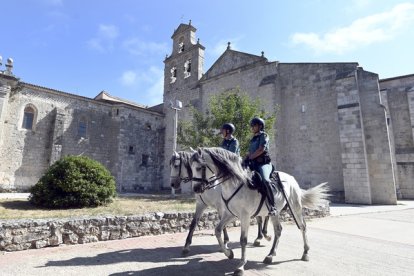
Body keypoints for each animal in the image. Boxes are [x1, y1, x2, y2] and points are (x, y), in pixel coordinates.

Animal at [190, 149, 330, 276]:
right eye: (191, 168)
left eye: (199, 167)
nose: (196, 189)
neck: (236, 183)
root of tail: (291, 179)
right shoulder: (230, 214)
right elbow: (217, 230)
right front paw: (229, 253)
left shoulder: (245, 216)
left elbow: (243, 240)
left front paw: (240, 266)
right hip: (275, 213)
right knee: (278, 230)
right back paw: (270, 255)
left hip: (295, 208)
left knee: (302, 227)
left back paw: (305, 253)